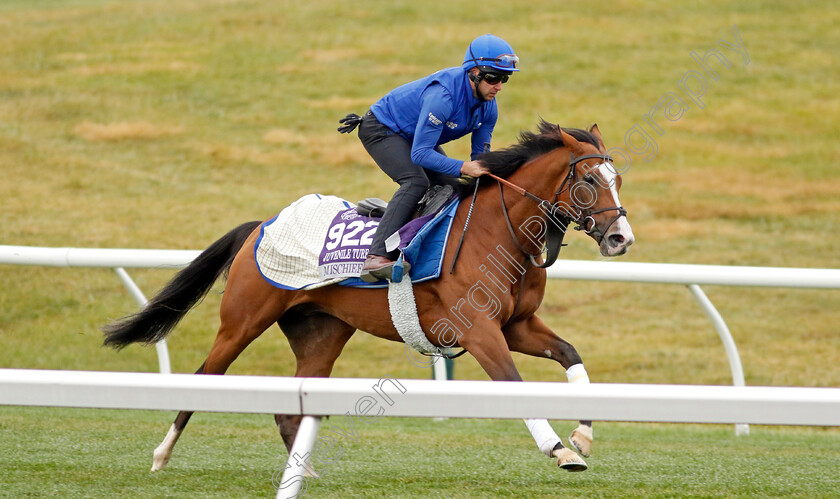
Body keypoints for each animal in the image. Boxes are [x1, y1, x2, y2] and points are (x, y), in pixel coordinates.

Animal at [101, 120, 632, 476]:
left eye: (617, 180)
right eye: (588, 181)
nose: (620, 239)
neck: (497, 233)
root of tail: (260, 226)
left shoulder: (516, 326)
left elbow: (570, 354)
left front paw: (583, 434)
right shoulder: (478, 331)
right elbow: (514, 384)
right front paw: (559, 449)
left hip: (322, 333)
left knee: (290, 404)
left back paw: (305, 471)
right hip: (242, 320)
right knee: (204, 377)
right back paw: (161, 455)